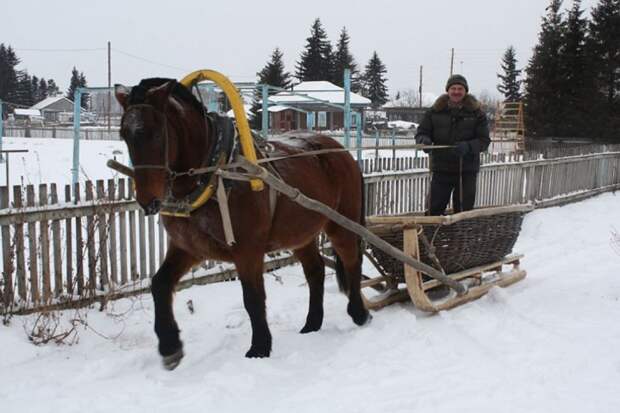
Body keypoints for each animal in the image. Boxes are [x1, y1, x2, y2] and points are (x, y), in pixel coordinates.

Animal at [114, 79, 370, 368]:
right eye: (124, 134)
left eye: (157, 134)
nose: (148, 201)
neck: (215, 173)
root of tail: (342, 153)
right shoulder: (188, 248)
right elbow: (159, 284)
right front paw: (170, 346)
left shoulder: (248, 250)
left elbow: (253, 297)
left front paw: (259, 347)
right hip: (301, 232)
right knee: (315, 271)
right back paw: (312, 324)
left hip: (342, 224)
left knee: (352, 260)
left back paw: (359, 312)